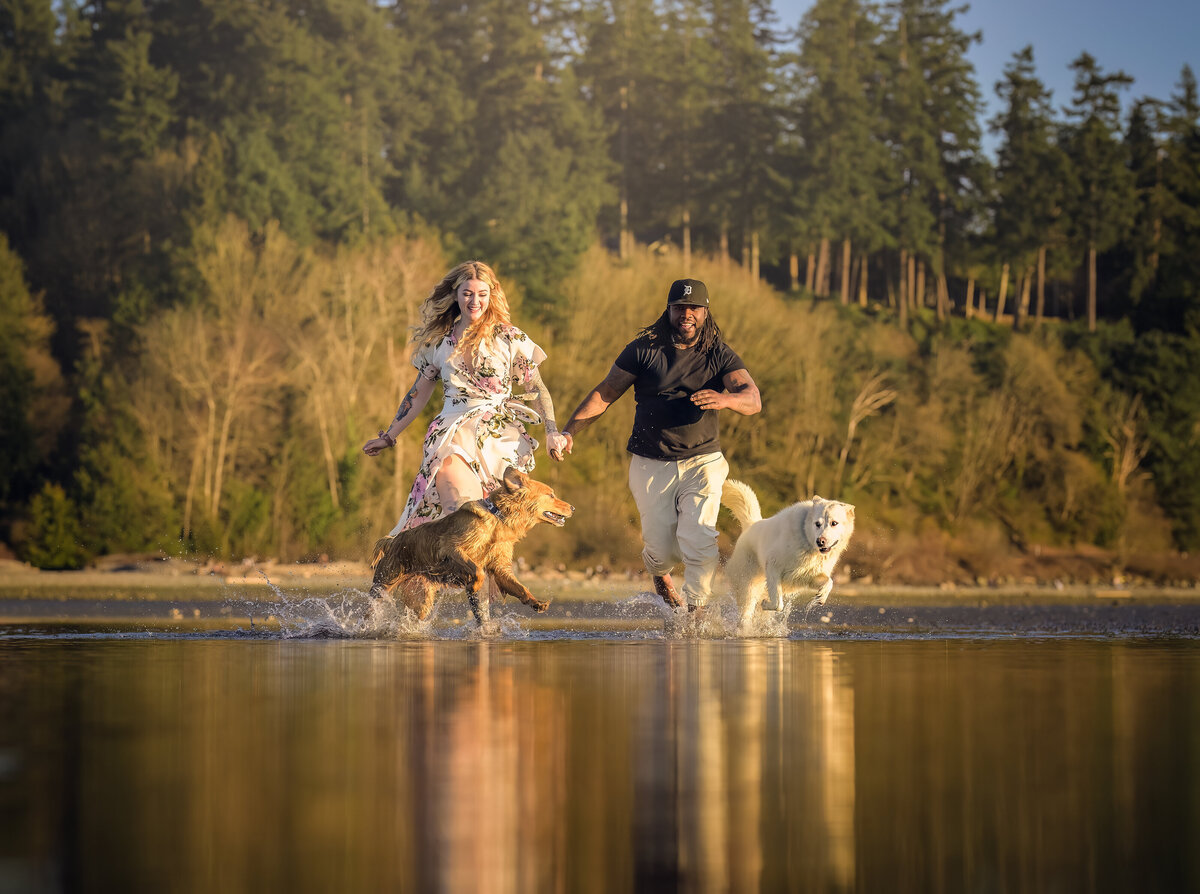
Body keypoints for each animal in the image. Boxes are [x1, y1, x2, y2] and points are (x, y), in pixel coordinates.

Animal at [364, 468, 571, 619]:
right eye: (551, 495)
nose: (573, 507)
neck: (498, 520)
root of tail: (391, 542)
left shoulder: (500, 565)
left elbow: (519, 586)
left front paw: (536, 602)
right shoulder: (451, 547)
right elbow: (477, 570)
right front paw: (474, 585)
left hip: (420, 597)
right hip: (383, 583)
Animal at [720, 477, 854, 624]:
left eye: (834, 523)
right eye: (817, 524)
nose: (820, 541)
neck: (806, 541)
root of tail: (751, 524)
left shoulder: (807, 576)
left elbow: (829, 582)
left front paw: (821, 597)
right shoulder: (773, 566)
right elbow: (778, 604)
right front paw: (766, 604)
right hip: (749, 587)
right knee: (746, 611)